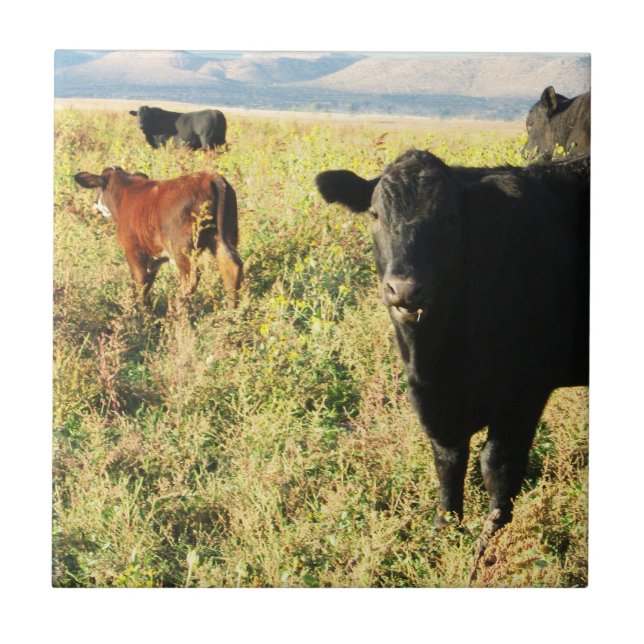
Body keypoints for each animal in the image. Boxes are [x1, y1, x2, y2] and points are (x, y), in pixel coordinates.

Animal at [74, 167, 243, 310]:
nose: (95, 205)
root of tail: (210, 177)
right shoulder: (154, 257)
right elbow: (147, 283)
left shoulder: (133, 250)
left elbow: (139, 281)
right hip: (225, 234)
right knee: (230, 267)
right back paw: (230, 313)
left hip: (180, 247)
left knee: (191, 276)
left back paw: (176, 308)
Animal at [316, 150, 589, 541]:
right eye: (375, 214)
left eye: (449, 219)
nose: (403, 289)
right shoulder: (433, 397)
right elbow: (448, 459)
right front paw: (444, 527)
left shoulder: (524, 389)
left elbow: (498, 465)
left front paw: (491, 536)